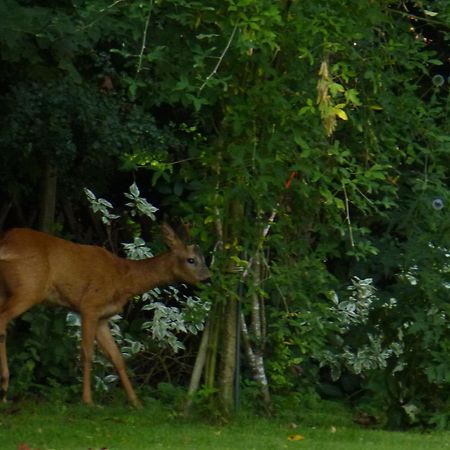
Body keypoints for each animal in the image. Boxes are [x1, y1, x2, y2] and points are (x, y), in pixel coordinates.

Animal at [0, 225, 211, 408]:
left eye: (204, 259)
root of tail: (6, 243)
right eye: (191, 259)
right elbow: (87, 353)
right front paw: (88, 400)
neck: (123, 279)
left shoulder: (103, 318)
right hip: (29, 288)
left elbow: (117, 357)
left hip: (8, 291)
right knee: (3, 319)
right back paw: (4, 387)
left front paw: (136, 403)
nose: (208, 278)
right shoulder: (89, 306)